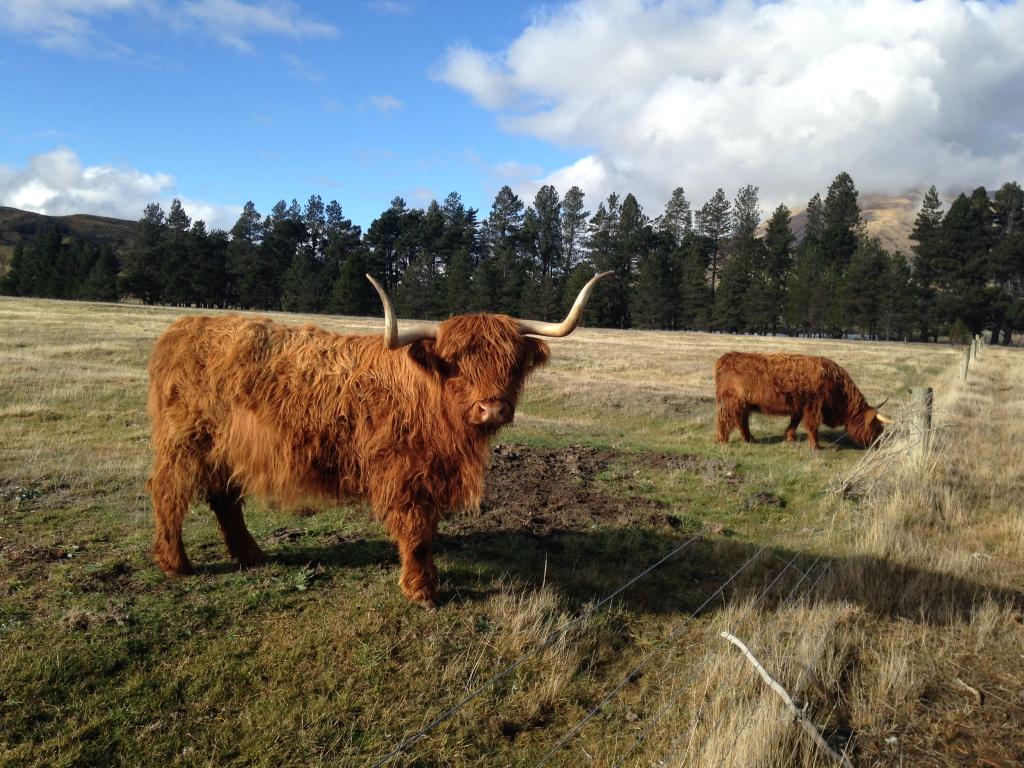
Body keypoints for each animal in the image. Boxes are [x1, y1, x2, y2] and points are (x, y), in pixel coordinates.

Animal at [148, 274, 610, 610]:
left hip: (223, 449)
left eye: (512, 363)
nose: (492, 409)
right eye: (456, 363)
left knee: (223, 498)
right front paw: (423, 591)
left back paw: (250, 555)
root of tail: (184, 327)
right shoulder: (404, 473)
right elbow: (416, 532)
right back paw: (176, 564)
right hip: (185, 442)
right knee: (169, 493)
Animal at [712, 354, 888, 454]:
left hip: (743, 404)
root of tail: (725, 358)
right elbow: (812, 426)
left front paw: (789, 438)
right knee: (725, 420)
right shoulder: (814, 405)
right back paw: (723, 441)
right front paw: (816, 447)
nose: (878, 445)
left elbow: (794, 422)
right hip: (732, 402)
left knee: (741, 421)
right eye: (876, 428)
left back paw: (750, 439)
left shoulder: (799, 406)